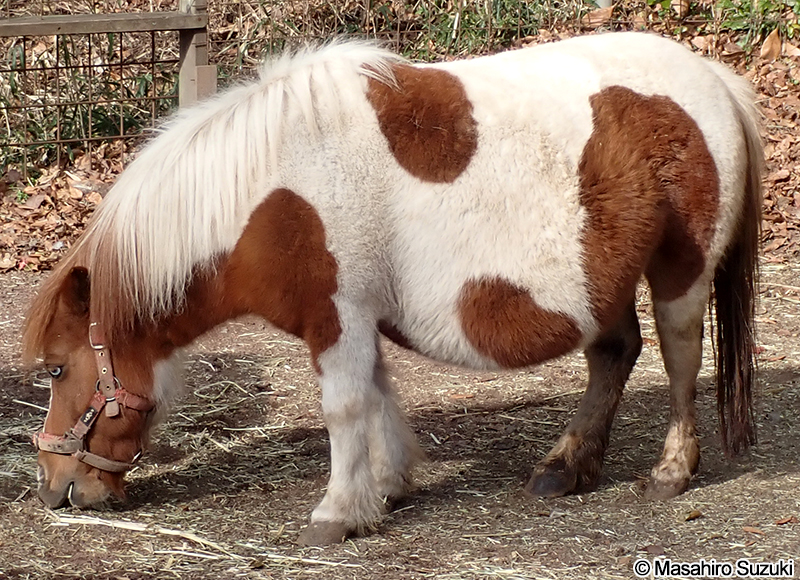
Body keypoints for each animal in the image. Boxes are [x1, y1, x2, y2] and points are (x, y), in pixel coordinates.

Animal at [22, 32, 762, 546]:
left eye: (57, 369)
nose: (55, 488)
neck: (270, 192)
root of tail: (716, 80)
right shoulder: (354, 320)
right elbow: (377, 396)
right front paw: (384, 488)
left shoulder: (337, 316)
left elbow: (346, 407)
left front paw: (336, 513)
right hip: (597, 285)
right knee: (613, 355)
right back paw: (565, 468)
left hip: (680, 274)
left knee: (679, 362)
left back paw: (670, 472)